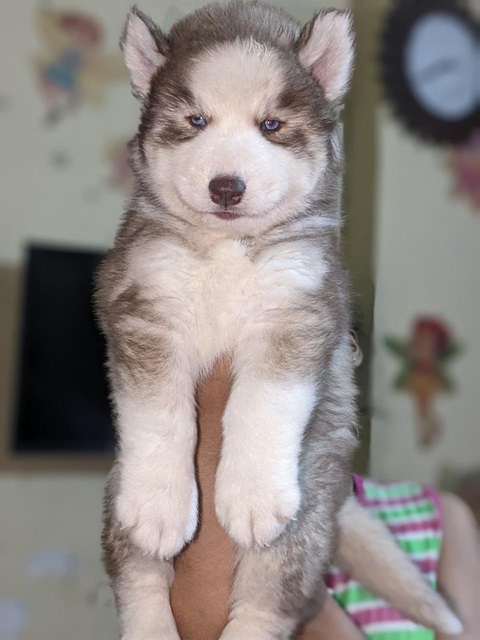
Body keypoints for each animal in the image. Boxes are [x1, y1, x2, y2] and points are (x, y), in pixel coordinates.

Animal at [96, 2, 462, 636]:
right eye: (195, 120)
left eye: (271, 125)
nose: (227, 186)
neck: (228, 249)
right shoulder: (143, 305)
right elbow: (158, 413)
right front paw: (160, 500)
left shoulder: (300, 311)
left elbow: (264, 402)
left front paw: (250, 493)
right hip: (118, 502)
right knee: (140, 582)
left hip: (308, 513)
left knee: (268, 601)